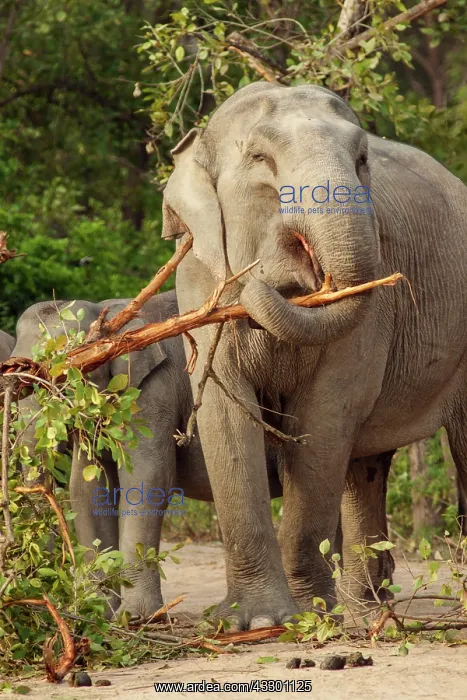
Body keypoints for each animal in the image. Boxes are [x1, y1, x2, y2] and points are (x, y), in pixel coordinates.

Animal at [161, 80, 467, 629]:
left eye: (363, 159)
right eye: (260, 158)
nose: (267, 277)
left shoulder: (373, 312)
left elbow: (325, 416)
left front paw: (309, 616)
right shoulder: (198, 276)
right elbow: (223, 412)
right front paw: (258, 622)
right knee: (365, 466)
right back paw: (367, 614)